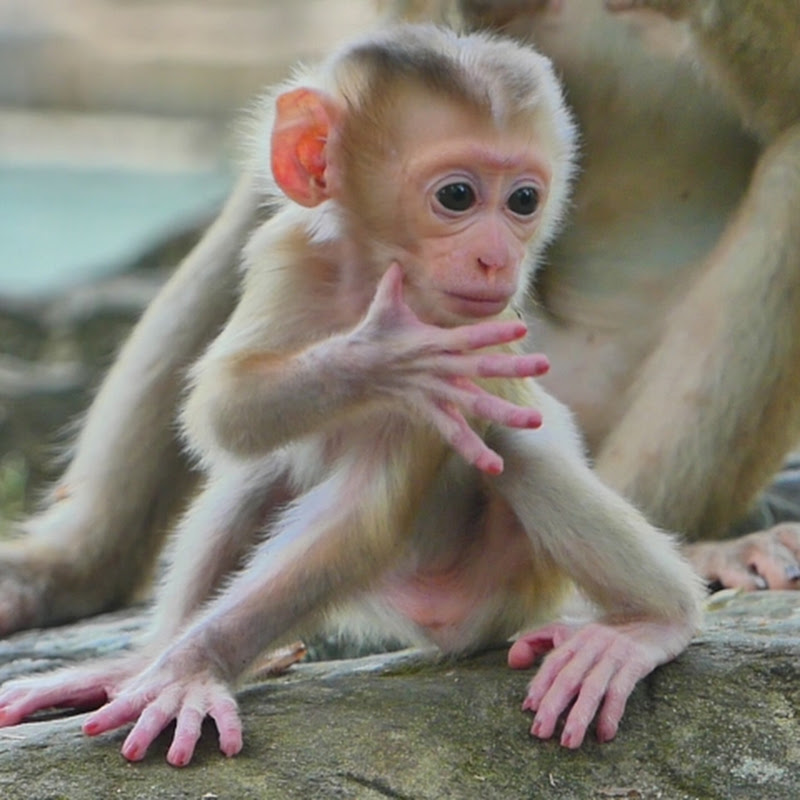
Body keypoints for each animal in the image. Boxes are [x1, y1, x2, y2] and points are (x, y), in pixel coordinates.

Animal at [0, 25, 702, 766]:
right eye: (458, 196)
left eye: (522, 202)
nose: (498, 258)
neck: (369, 278)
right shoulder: (288, 252)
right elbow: (222, 406)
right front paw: (383, 359)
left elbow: (363, 512)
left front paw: (191, 670)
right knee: (262, 471)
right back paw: (145, 660)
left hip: (509, 588)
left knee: (519, 449)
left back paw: (651, 623)